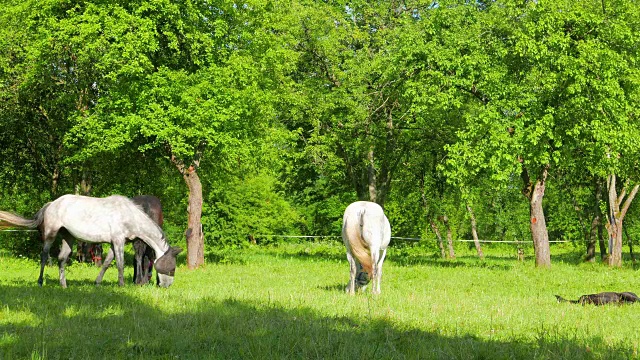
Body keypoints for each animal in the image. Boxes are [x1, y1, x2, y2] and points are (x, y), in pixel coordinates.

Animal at [0, 194, 182, 286]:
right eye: (172, 268)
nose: (166, 286)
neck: (129, 215)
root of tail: (52, 204)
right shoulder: (118, 241)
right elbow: (120, 264)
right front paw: (122, 285)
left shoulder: (114, 243)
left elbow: (107, 263)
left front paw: (97, 282)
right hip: (51, 235)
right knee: (44, 256)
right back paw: (40, 282)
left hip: (68, 237)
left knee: (62, 258)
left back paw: (63, 284)